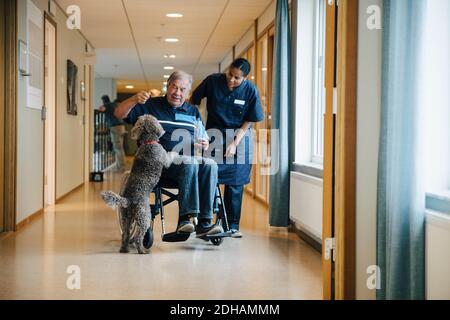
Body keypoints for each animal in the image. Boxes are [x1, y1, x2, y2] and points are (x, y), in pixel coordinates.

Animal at [101, 115, 175, 255]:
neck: (148, 142)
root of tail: (128, 200)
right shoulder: (165, 159)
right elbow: (170, 156)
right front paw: (176, 153)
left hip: (126, 218)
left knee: (125, 235)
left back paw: (124, 249)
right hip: (144, 216)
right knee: (137, 237)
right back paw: (142, 250)